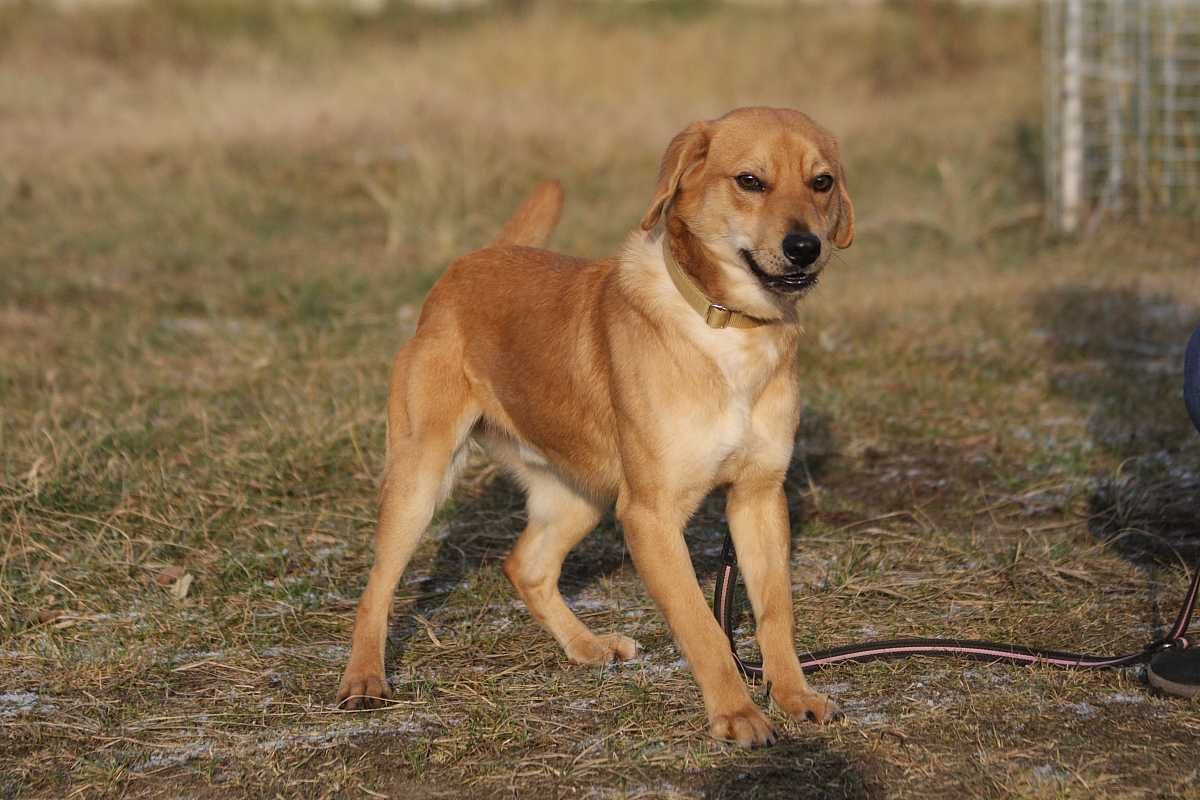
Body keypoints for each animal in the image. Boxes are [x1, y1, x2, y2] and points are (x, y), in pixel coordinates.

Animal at [336, 107, 854, 753]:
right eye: (750, 181)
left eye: (822, 182)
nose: (805, 248)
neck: (728, 328)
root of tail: (475, 259)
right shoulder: (650, 515)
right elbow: (702, 626)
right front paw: (736, 714)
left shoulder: (758, 497)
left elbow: (776, 612)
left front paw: (794, 697)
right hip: (421, 480)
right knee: (378, 586)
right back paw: (363, 679)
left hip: (580, 495)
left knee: (526, 566)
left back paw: (586, 646)